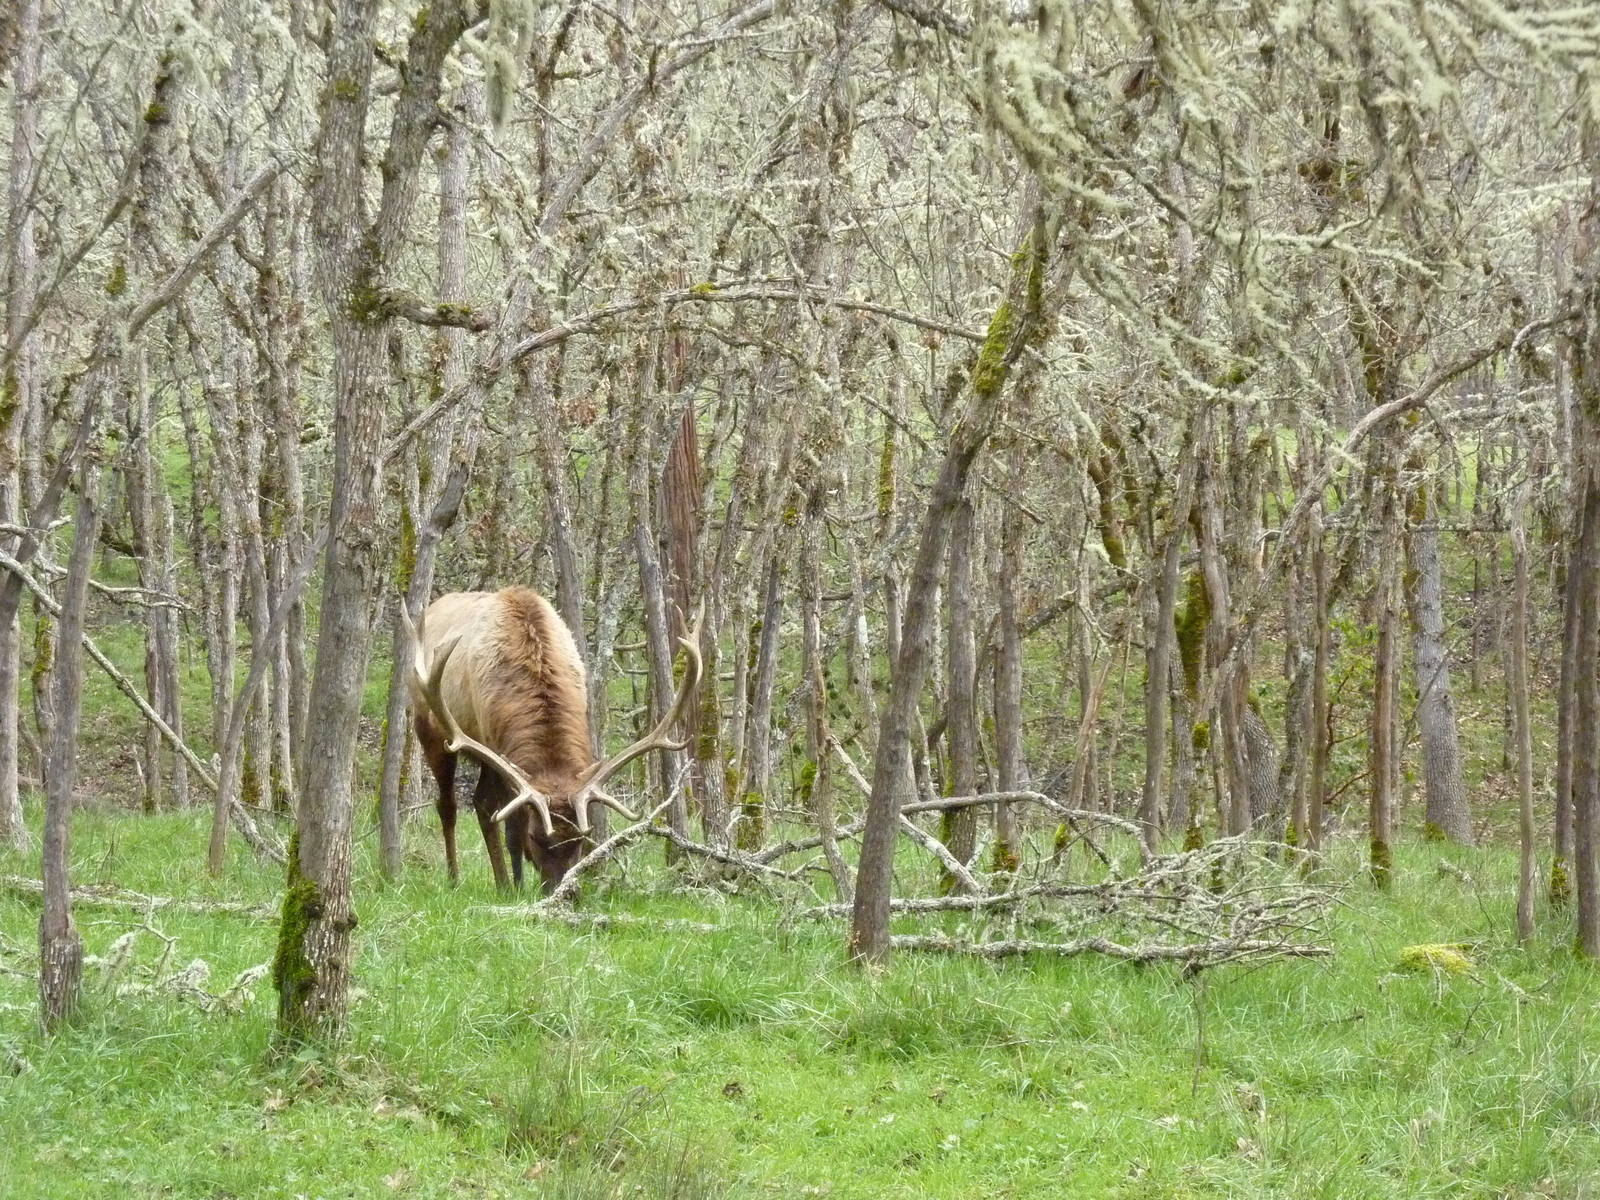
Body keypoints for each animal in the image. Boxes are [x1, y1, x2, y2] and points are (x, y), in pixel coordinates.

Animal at [401, 586, 701, 893]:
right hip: (432, 732)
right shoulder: (496, 750)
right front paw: (514, 888)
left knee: (480, 803)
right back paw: (461, 879)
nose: (563, 891)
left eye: (580, 839)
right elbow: (512, 825)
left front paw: (517, 882)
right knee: (450, 804)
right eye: (536, 838)